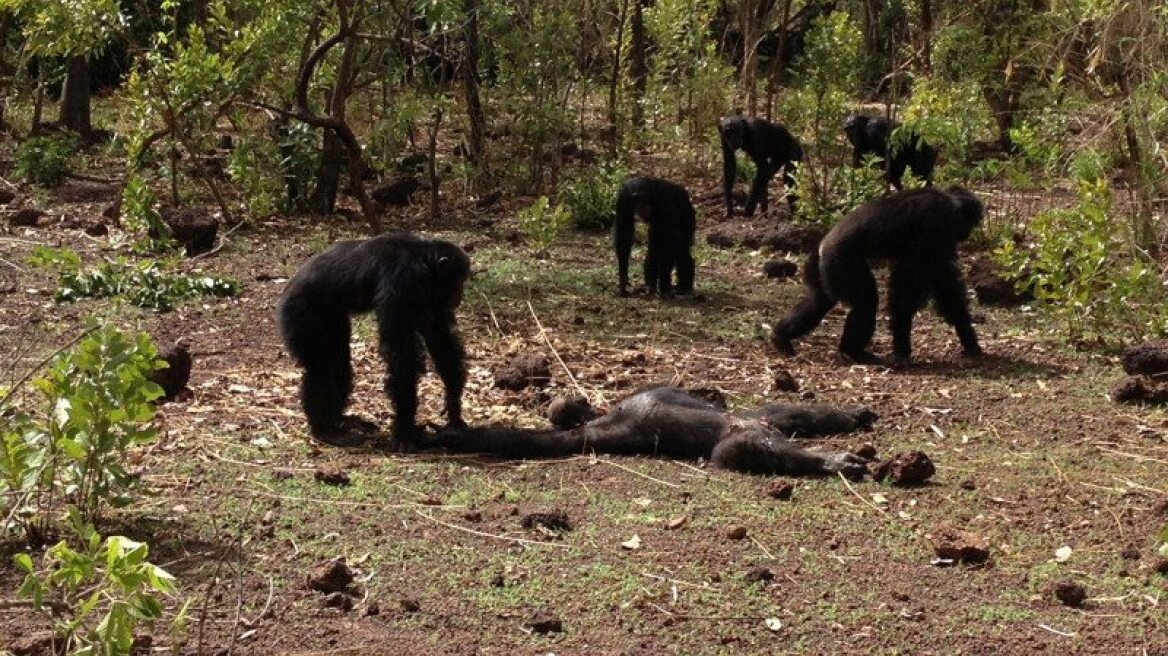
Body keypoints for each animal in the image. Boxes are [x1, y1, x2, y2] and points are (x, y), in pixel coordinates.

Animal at [279, 231, 469, 443]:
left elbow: (439, 338)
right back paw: (324, 429)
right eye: (458, 280)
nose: (460, 293)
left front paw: (453, 409)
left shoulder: (431, 298)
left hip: (333, 318)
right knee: (320, 367)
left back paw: (340, 421)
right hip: (300, 313)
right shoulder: (402, 281)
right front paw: (405, 428)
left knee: (339, 363)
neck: (424, 262)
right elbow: (399, 352)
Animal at [775, 186, 985, 364]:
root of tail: (821, 245)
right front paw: (902, 347)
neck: (950, 201)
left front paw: (968, 338)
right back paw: (853, 351)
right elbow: (907, 288)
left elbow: (945, 285)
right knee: (865, 302)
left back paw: (781, 336)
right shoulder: (934, 227)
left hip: (822, 273)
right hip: (843, 265)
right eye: (969, 224)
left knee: (816, 303)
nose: (967, 234)